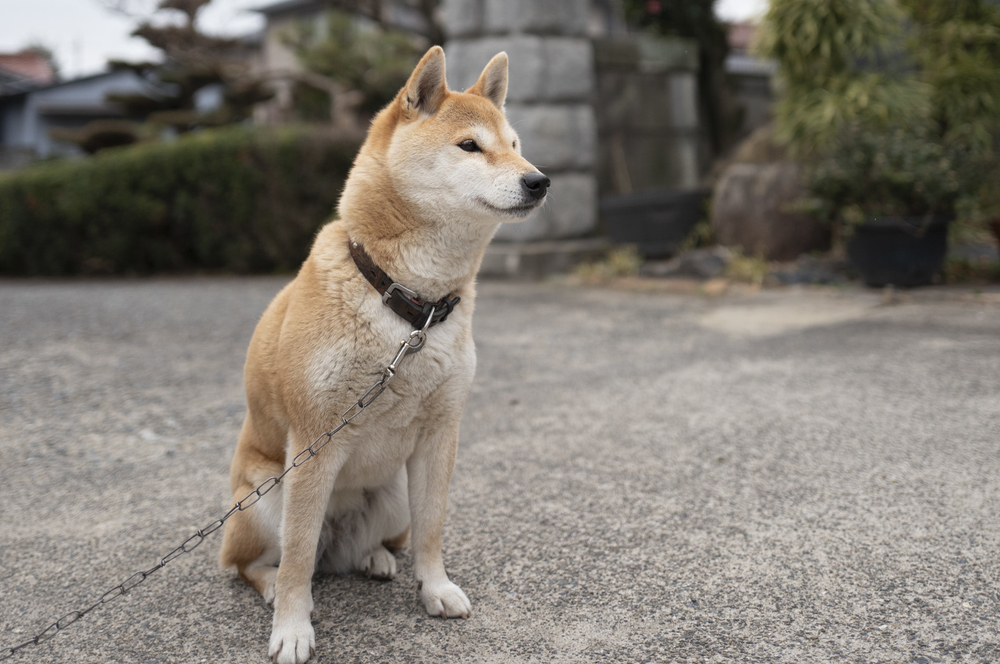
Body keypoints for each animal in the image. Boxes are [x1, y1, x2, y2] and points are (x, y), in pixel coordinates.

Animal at [219, 46, 552, 664]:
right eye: (470, 146)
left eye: (516, 144)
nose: (539, 180)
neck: (411, 306)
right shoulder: (315, 442)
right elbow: (297, 555)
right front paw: (292, 628)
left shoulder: (441, 432)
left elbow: (432, 529)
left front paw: (435, 588)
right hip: (265, 496)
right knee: (256, 562)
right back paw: (273, 586)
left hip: (393, 493)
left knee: (371, 544)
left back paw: (374, 558)